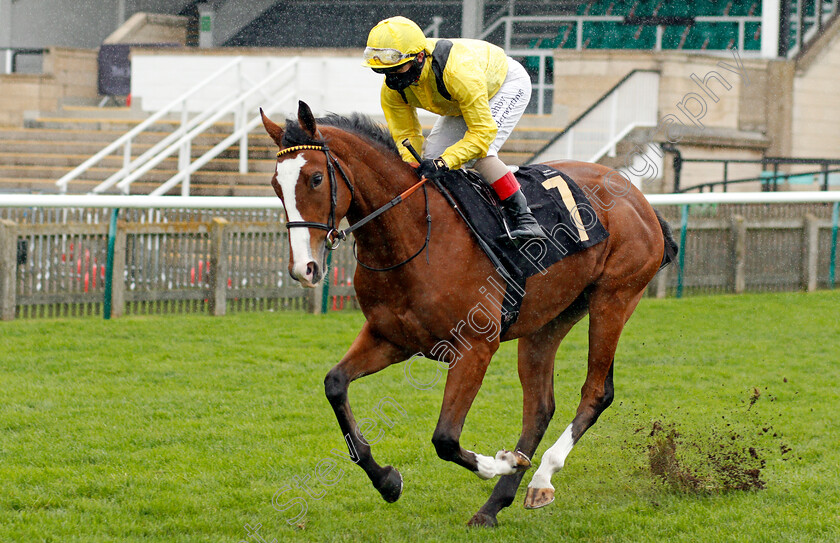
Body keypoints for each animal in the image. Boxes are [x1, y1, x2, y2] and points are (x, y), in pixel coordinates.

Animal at [260, 101, 676, 528]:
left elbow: (445, 438)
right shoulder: (389, 337)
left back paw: (540, 476)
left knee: (595, 392)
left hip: (614, 298)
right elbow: (335, 384)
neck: (414, 236)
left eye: (314, 178)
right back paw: (495, 504)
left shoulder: (474, 347)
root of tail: (639, 198)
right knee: (540, 407)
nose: (304, 268)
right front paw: (387, 480)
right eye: (276, 184)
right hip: (549, 320)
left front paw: (502, 462)